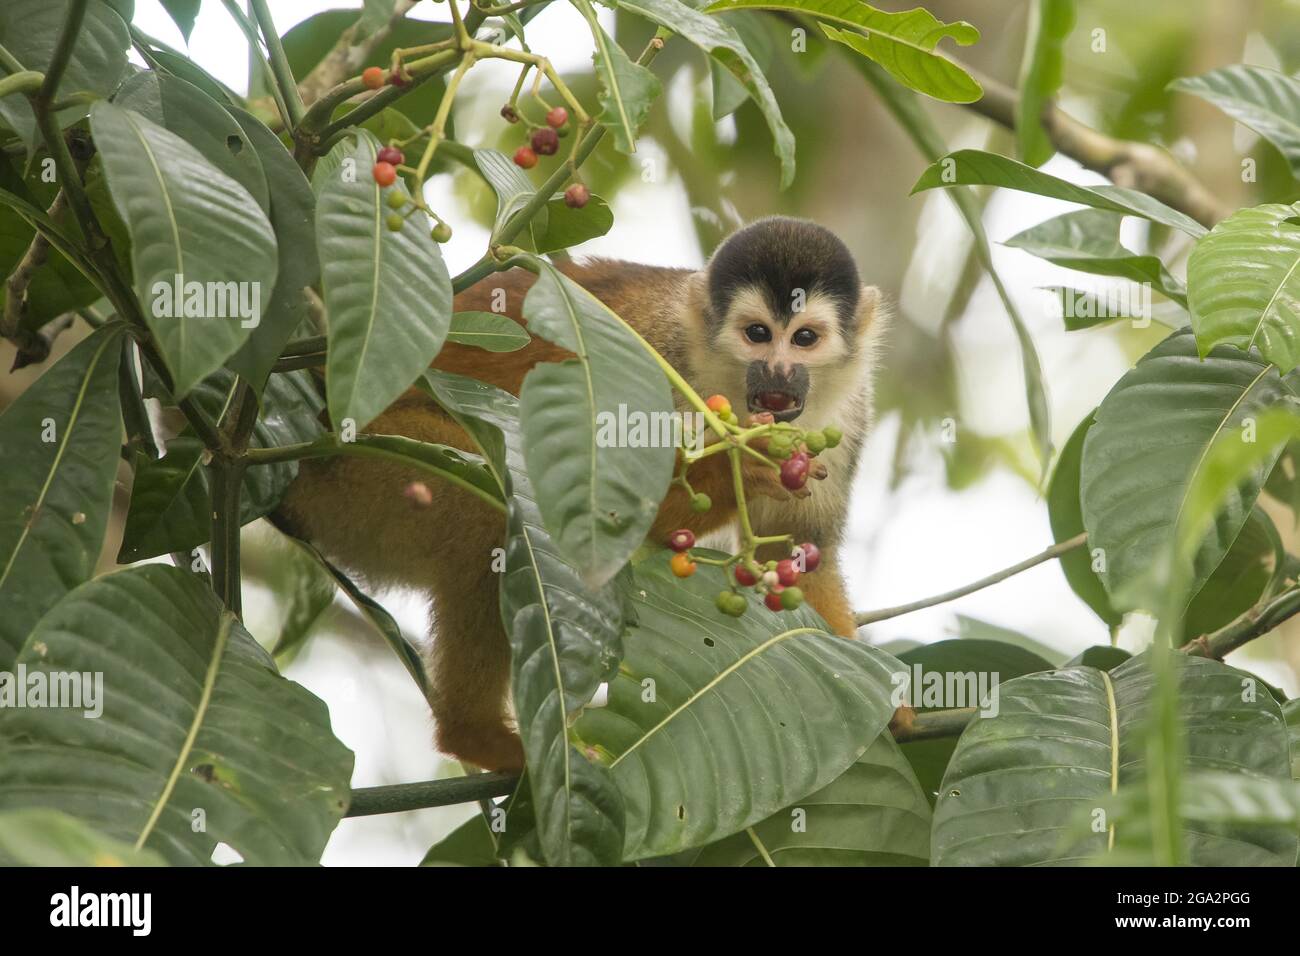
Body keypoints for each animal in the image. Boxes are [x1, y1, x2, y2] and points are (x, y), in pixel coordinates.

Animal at [274, 217, 883, 770]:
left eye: (804, 338)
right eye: (757, 334)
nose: (778, 371)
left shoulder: (848, 415)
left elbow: (801, 550)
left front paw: (883, 706)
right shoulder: (651, 364)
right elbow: (607, 526)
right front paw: (737, 461)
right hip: (359, 473)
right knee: (492, 513)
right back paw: (474, 735)